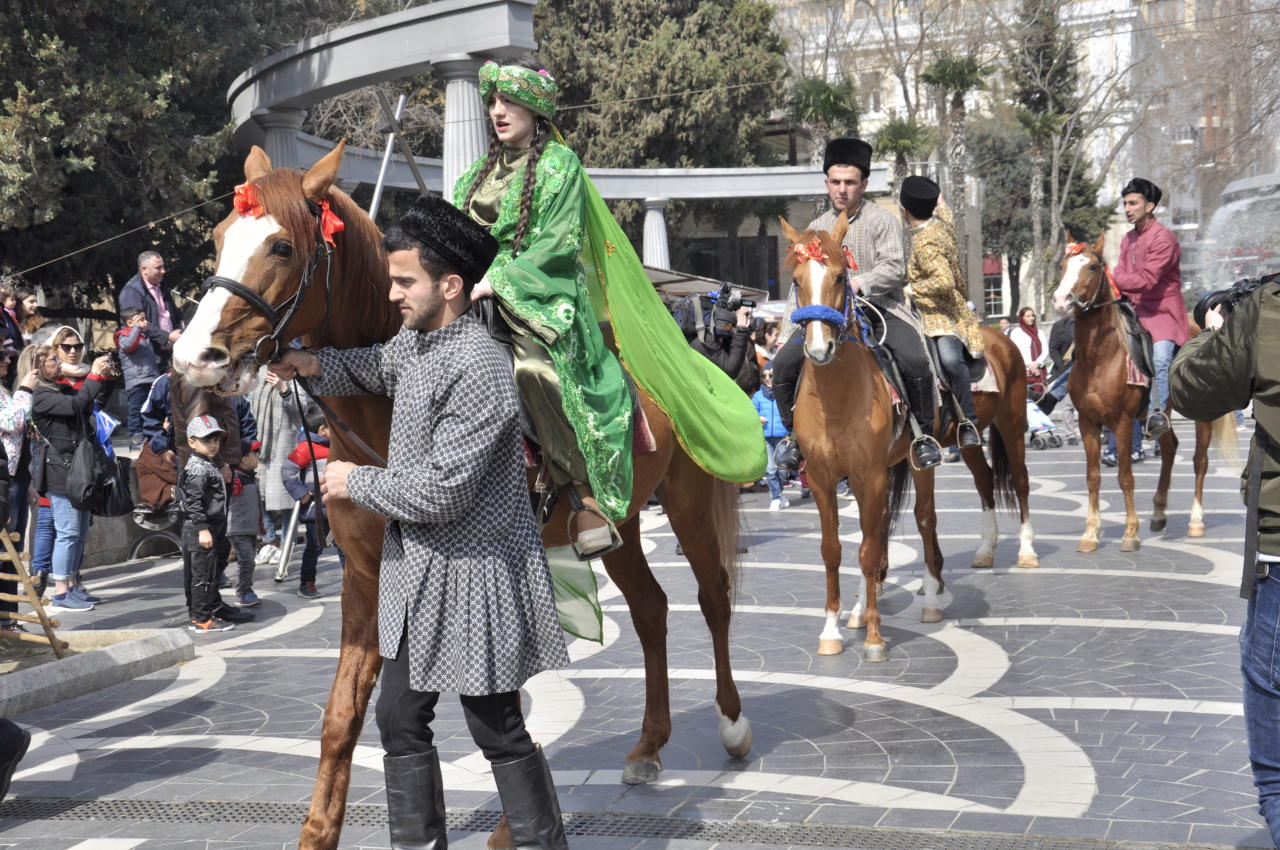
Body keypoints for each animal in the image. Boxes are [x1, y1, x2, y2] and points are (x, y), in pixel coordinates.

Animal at [170, 142, 747, 844]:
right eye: (220, 237)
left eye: (280, 246)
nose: (194, 357)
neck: (389, 407)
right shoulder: (365, 577)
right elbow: (342, 716)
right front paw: (318, 831)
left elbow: (506, 691)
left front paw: (510, 823)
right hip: (625, 522)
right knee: (650, 609)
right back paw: (647, 747)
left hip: (688, 500)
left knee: (712, 598)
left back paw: (732, 725)